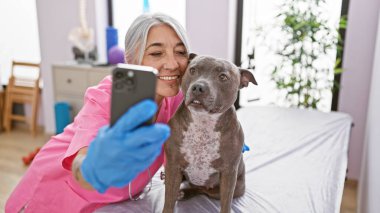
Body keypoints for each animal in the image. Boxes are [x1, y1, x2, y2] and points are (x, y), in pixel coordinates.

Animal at [162, 53, 256, 213]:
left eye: (223, 77)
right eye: (192, 70)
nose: (198, 87)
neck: (203, 123)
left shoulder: (229, 173)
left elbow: (226, 205)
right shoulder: (173, 165)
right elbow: (168, 202)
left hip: (236, 187)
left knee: (203, 190)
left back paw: (185, 193)